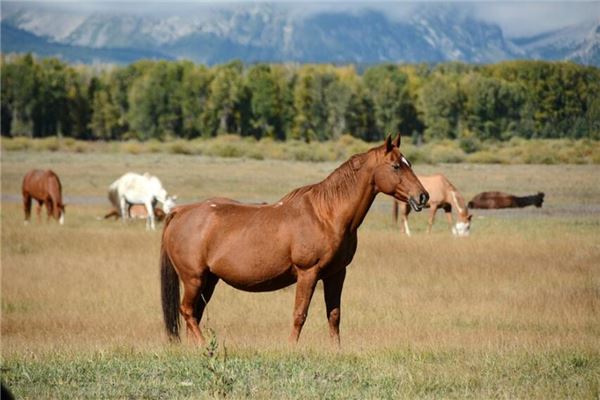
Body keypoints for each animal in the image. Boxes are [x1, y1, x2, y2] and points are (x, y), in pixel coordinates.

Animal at [162, 135, 428, 346]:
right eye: (396, 166)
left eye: (409, 164)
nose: (423, 196)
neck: (325, 215)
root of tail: (181, 211)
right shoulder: (307, 273)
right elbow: (300, 314)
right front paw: (291, 347)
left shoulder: (336, 273)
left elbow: (334, 315)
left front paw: (336, 349)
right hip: (194, 279)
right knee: (188, 311)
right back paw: (203, 346)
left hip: (209, 280)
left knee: (195, 313)